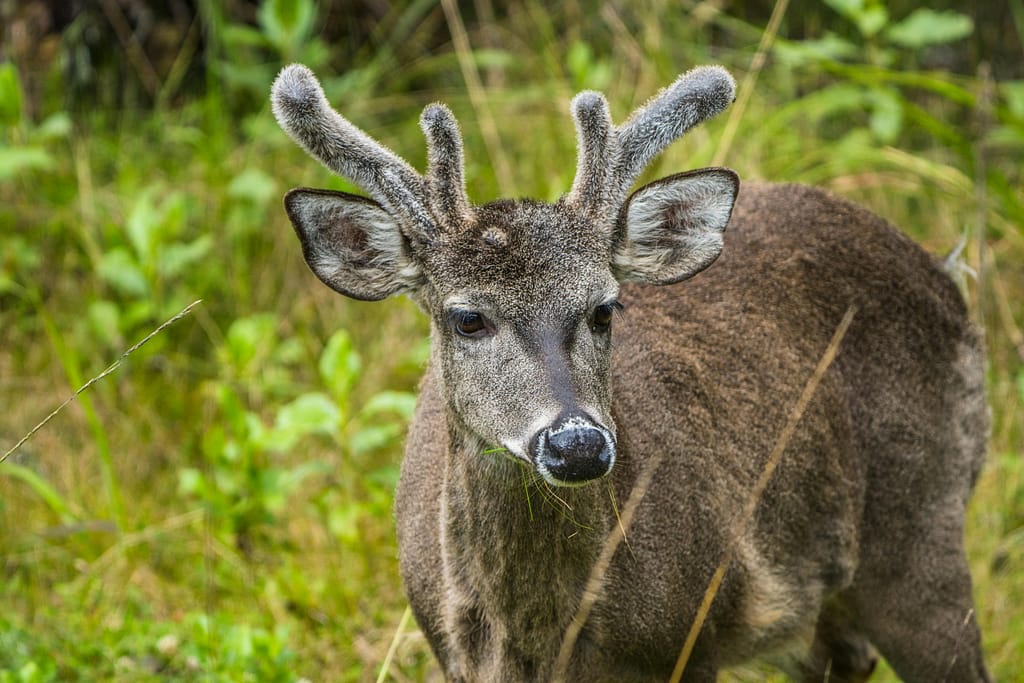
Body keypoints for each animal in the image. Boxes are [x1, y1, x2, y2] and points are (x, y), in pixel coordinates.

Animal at [270, 62, 991, 682]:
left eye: (604, 307)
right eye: (467, 318)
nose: (577, 443)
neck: (536, 638)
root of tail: (944, 274)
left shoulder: (690, 639)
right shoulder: (450, 655)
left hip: (923, 524)